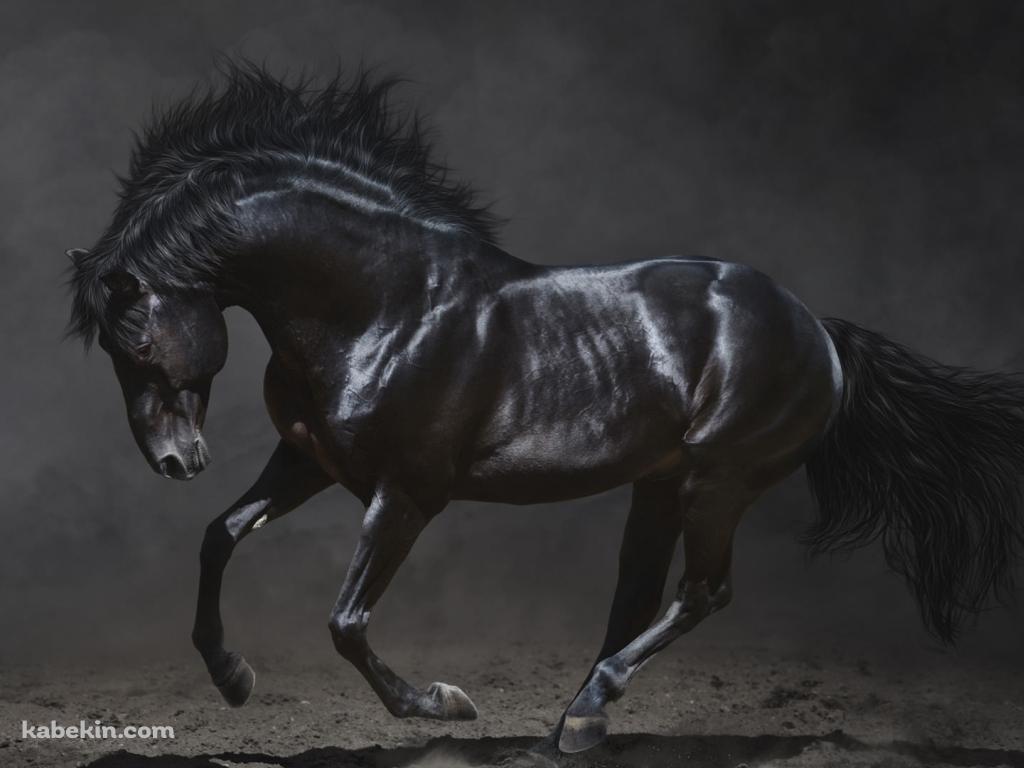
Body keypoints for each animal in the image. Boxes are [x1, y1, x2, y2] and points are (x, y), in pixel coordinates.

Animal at [66, 63, 1024, 754]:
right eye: (110, 353)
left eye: (137, 344)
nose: (174, 462)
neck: (385, 306)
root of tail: (816, 328)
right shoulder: (308, 461)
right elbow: (220, 536)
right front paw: (233, 677)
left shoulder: (407, 494)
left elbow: (345, 621)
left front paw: (443, 706)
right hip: (661, 484)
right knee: (639, 595)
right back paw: (578, 720)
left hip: (720, 481)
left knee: (702, 592)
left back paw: (588, 713)